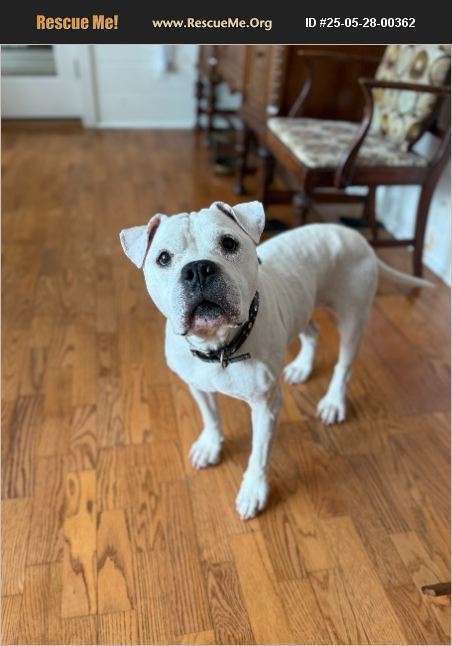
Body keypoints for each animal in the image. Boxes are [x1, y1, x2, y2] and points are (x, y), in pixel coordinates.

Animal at [120, 201, 431, 519]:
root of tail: (355, 235)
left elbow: (259, 452)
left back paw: (333, 402)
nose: (198, 269)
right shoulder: (198, 387)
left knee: (343, 366)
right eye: (163, 258)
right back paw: (302, 368)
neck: (219, 347)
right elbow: (211, 417)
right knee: (313, 334)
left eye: (229, 243)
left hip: (353, 319)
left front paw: (253, 490)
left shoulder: (266, 406)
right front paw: (210, 445)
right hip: (302, 306)